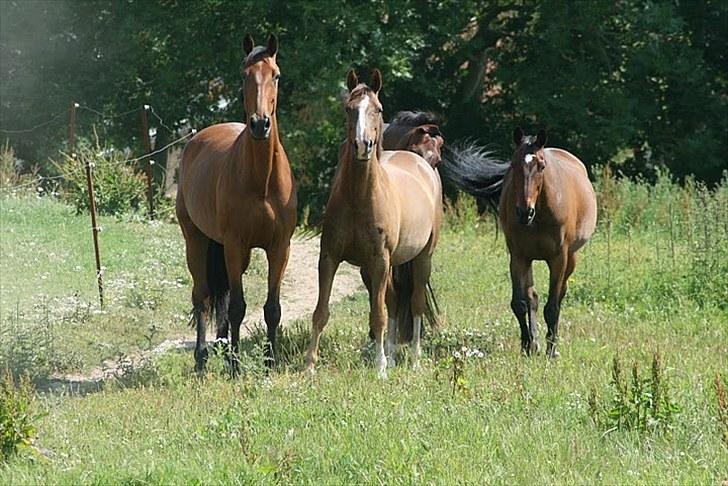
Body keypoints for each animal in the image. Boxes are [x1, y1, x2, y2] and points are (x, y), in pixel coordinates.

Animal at [176, 34, 296, 372]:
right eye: (244, 75)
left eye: (276, 75)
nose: (259, 124)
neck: (262, 180)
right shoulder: (234, 244)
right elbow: (238, 307)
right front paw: (235, 369)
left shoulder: (279, 247)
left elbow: (271, 308)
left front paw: (270, 364)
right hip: (196, 240)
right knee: (202, 297)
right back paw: (203, 360)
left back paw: (222, 348)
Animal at [302, 70, 440, 378]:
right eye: (348, 108)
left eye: (377, 109)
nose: (362, 145)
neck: (359, 197)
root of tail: (420, 164)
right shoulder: (329, 258)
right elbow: (320, 312)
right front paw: (310, 365)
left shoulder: (379, 260)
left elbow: (378, 315)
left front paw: (380, 369)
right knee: (393, 301)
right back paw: (391, 354)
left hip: (421, 258)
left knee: (414, 303)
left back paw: (414, 359)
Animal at [440, 128, 596, 356]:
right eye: (513, 164)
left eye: (541, 166)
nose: (524, 212)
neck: (539, 215)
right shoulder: (518, 256)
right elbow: (520, 303)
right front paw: (528, 345)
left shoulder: (558, 258)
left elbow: (552, 307)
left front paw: (551, 351)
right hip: (529, 259)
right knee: (533, 298)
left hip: (571, 258)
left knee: (559, 295)